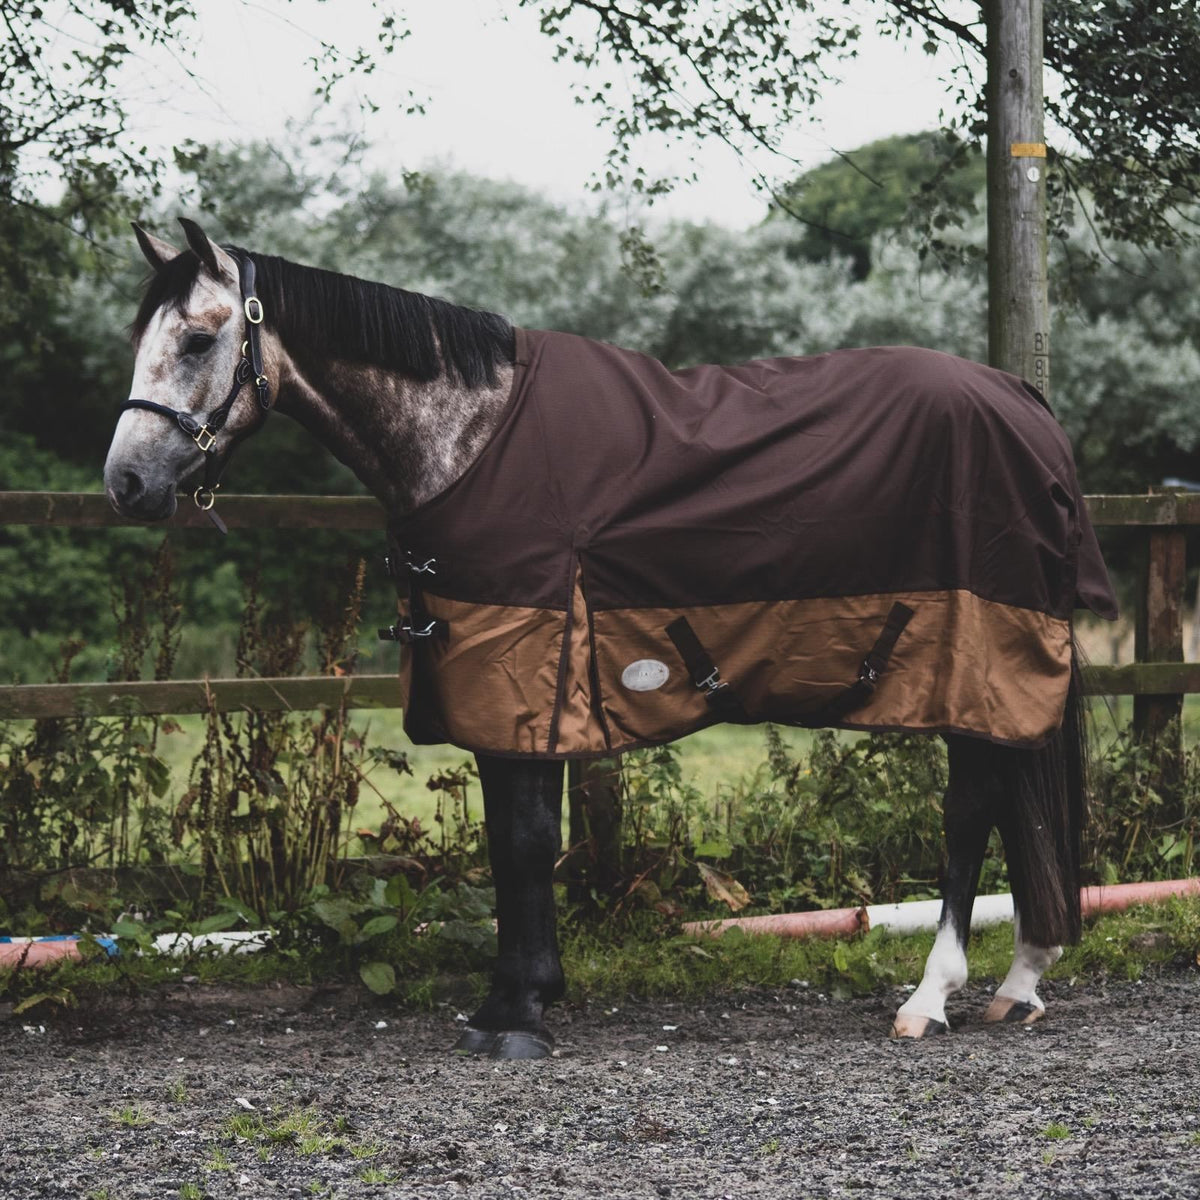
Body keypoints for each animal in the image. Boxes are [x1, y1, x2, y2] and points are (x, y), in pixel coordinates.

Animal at [105, 218, 1117, 1059]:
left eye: (198, 340)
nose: (126, 484)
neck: (472, 439)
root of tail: (1023, 401)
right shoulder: (504, 681)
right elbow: (517, 841)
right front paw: (524, 993)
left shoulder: (527, 664)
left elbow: (520, 843)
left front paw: (515, 1014)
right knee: (1013, 800)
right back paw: (1021, 979)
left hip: (972, 660)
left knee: (971, 808)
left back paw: (930, 997)